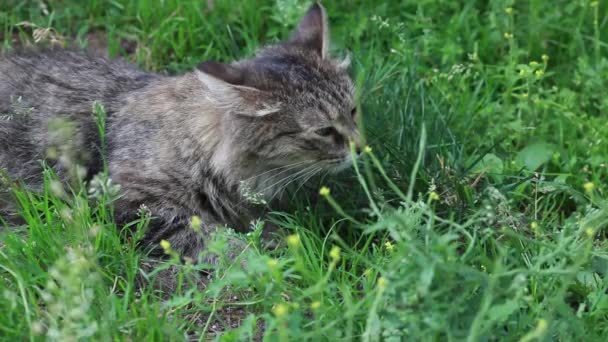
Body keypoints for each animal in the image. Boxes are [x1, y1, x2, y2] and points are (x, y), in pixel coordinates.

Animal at [0, 3, 360, 260]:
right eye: (324, 130)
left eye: (354, 111)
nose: (359, 147)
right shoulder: (128, 203)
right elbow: (219, 242)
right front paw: (271, 264)